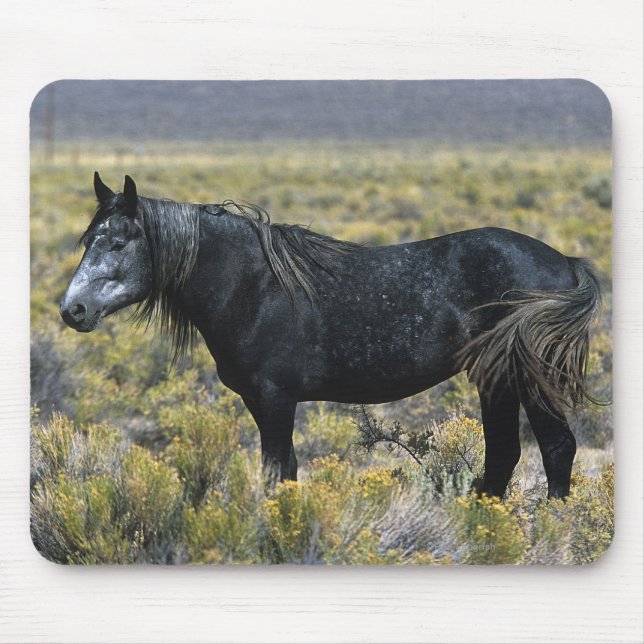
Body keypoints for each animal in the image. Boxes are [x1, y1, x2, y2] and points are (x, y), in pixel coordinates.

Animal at [60, 173, 602, 499]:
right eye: (88, 239)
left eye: (121, 241)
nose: (73, 309)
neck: (251, 284)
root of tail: (563, 260)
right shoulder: (261, 401)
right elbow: (285, 470)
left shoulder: (276, 399)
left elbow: (277, 472)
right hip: (496, 378)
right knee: (504, 454)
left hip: (527, 379)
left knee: (555, 449)